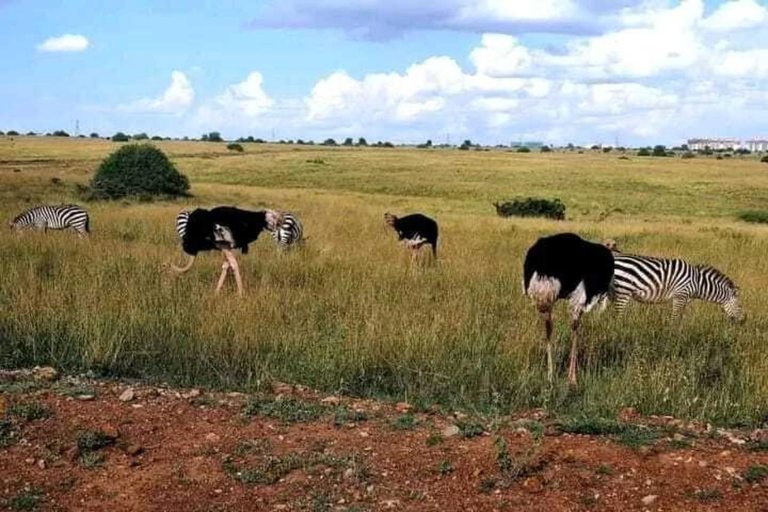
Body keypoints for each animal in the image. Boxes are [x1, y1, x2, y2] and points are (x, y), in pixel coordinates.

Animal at [612, 253, 744, 322]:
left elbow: (679, 317)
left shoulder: (685, 298)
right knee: (618, 316)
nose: (743, 322)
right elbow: (675, 318)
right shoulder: (680, 295)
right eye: (739, 306)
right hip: (623, 290)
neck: (698, 283)